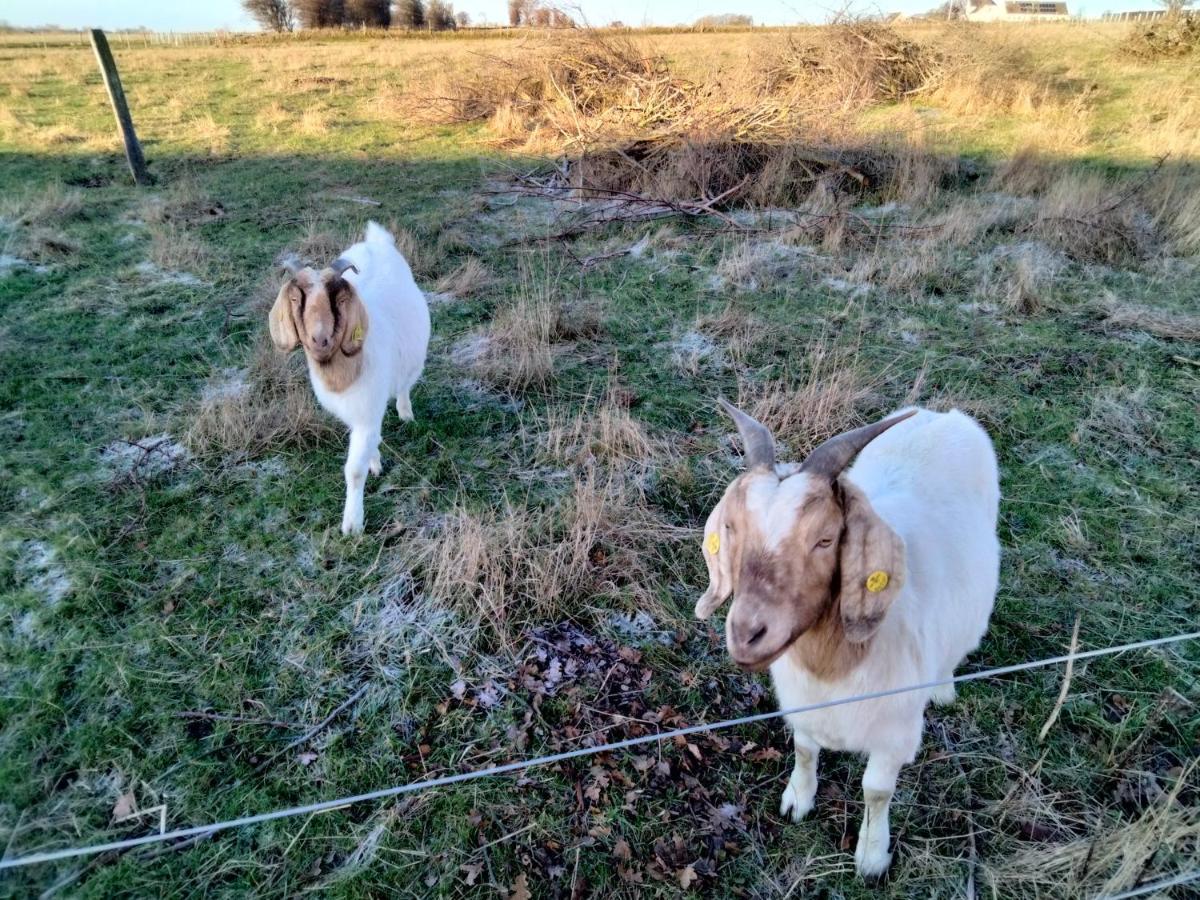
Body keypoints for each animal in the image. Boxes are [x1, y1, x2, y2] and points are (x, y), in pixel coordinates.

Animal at [270, 220, 429, 535]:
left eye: (340, 299)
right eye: (296, 299)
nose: (319, 339)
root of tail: (376, 241)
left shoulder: (367, 410)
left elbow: (354, 470)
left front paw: (352, 524)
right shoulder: (358, 413)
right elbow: (368, 445)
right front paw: (375, 462)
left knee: (405, 385)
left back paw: (406, 413)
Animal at [700, 403, 998, 883]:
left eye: (825, 539)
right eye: (732, 528)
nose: (747, 634)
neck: (834, 666)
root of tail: (940, 414)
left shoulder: (895, 733)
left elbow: (875, 790)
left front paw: (872, 857)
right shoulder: (803, 705)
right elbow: (804, 749)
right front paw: (798, 800)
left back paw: (943, 688)